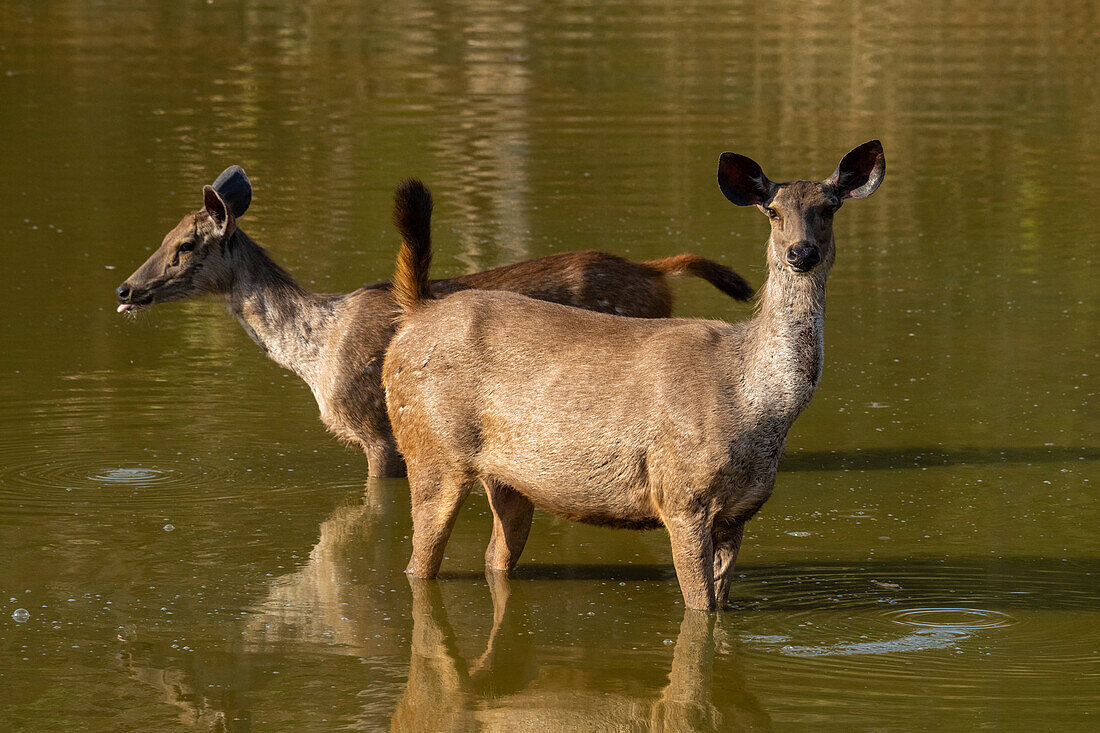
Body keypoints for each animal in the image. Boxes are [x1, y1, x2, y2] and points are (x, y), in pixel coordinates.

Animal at [116, 165, 756, 473]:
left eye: (184, 246)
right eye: (166, 235)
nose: (126, 288)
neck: (315, 352)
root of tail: (654, 272)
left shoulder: (376, 431)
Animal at [385, 139, 884, 607]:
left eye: (829, 208)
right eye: (774, 211)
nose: (802, 252)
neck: (757, 406)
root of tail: (414, 314)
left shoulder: (738, 512)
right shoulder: (681, 496)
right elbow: (699, 609)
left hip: (509, 479)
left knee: (496, 556)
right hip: (432, 450)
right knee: (417, 562)